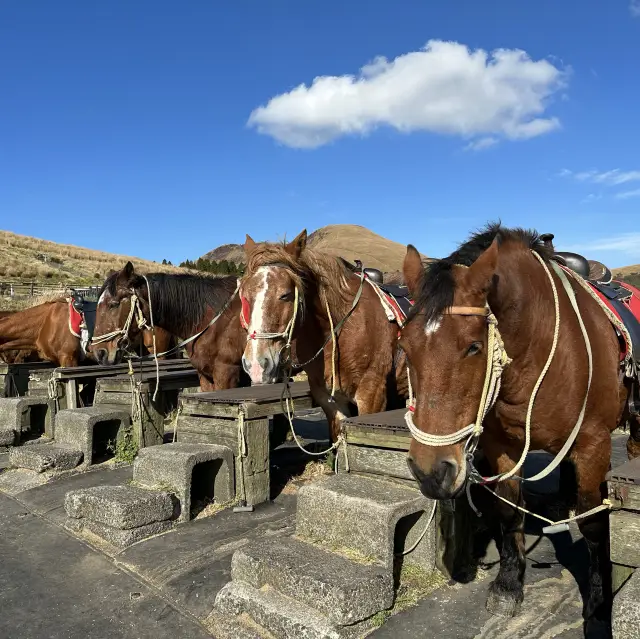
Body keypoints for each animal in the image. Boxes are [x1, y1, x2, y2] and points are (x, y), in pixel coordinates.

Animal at [400, 225, 636, 632]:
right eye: (404, 345)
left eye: (474, 347)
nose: (430, 471)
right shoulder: (501, 447)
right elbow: (509, 510)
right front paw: (509, 586)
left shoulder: (592, 444)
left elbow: (593, 524)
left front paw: (598, 604)